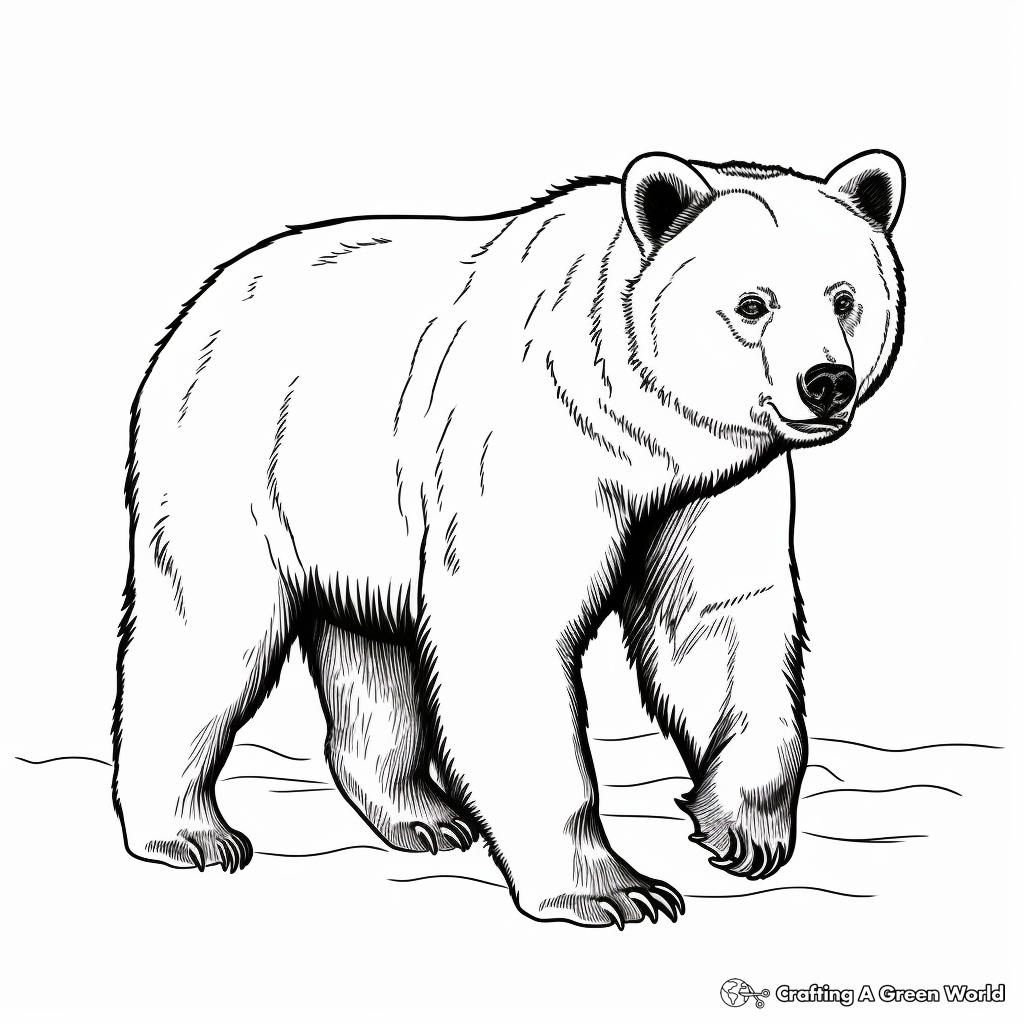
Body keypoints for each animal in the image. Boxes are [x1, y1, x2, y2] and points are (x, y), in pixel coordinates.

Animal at [114, 149, 905, 928]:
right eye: (752, 304)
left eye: (844, 297)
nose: (827, 381)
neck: (632, 431)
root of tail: (202, 304)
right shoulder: (525, 448)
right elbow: (512, 636)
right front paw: (612, 889)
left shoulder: (714, 487)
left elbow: (717, 624)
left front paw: (742, 831)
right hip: (243, 457)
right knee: (211, 632)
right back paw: (189, 832)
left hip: (352, 519)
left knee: (368, 652)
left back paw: (422, 815)